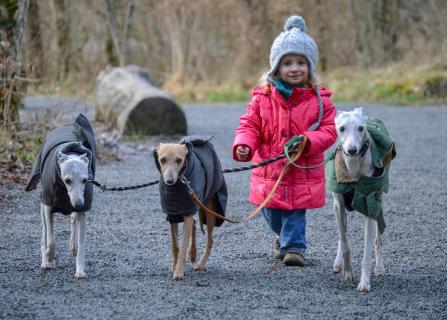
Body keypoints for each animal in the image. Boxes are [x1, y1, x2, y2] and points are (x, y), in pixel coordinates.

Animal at [25, 114, 96, 278]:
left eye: (85, 180)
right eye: (67, 180)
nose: (78, 204)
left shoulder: (82, 211)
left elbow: (82, 243)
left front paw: (80, 270)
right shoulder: (48, 207)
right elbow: (51, 241)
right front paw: (49, 257)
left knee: (73, 220)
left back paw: (73, 245)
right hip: (42, 206)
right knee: (45, 234)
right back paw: (45, 260)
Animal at [154, 136, 229, 280]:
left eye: (179, 160)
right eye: (162, 159)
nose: (169, 181)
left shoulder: (187, 213)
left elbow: (183, 247)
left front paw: (179, 271)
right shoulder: (172, 215)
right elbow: (175, 246)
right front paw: (174, 266)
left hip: (209, 212)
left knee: (210, 240)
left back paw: (200, 264)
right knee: (194, 225)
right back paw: (193, 254)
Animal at [328, 108, 398, 292]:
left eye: (361, 128)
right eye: (342, 128)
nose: (352, 150)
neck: (353, 167)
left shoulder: (370, 206)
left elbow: (367, 252)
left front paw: (364, 282)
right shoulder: (338, 205)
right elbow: (344, 241)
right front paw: (347, 271)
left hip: (378, 202)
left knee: (378, 237)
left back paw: (379, 267)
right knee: (342, 234)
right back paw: (338, 263)